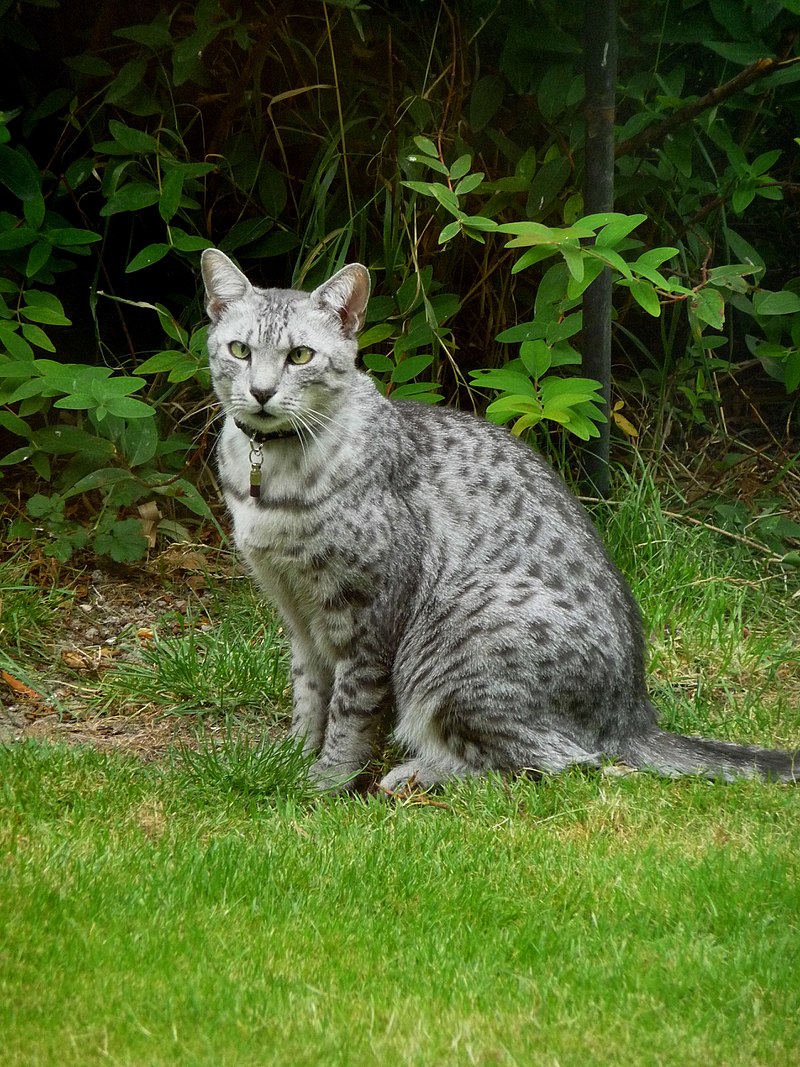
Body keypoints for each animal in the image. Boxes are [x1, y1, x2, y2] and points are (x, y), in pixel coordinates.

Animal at [199, 249, 797, 798]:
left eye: (300, 355)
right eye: (239, 350)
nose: (261, 391)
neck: (270, 480)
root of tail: (632, 714)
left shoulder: (368, 614)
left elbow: (351, 709)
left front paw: (326, 781)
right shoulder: (297, 613)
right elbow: (308, 691)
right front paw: (293, 754)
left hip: (460, 648)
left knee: (558, 763)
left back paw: (420, 773)